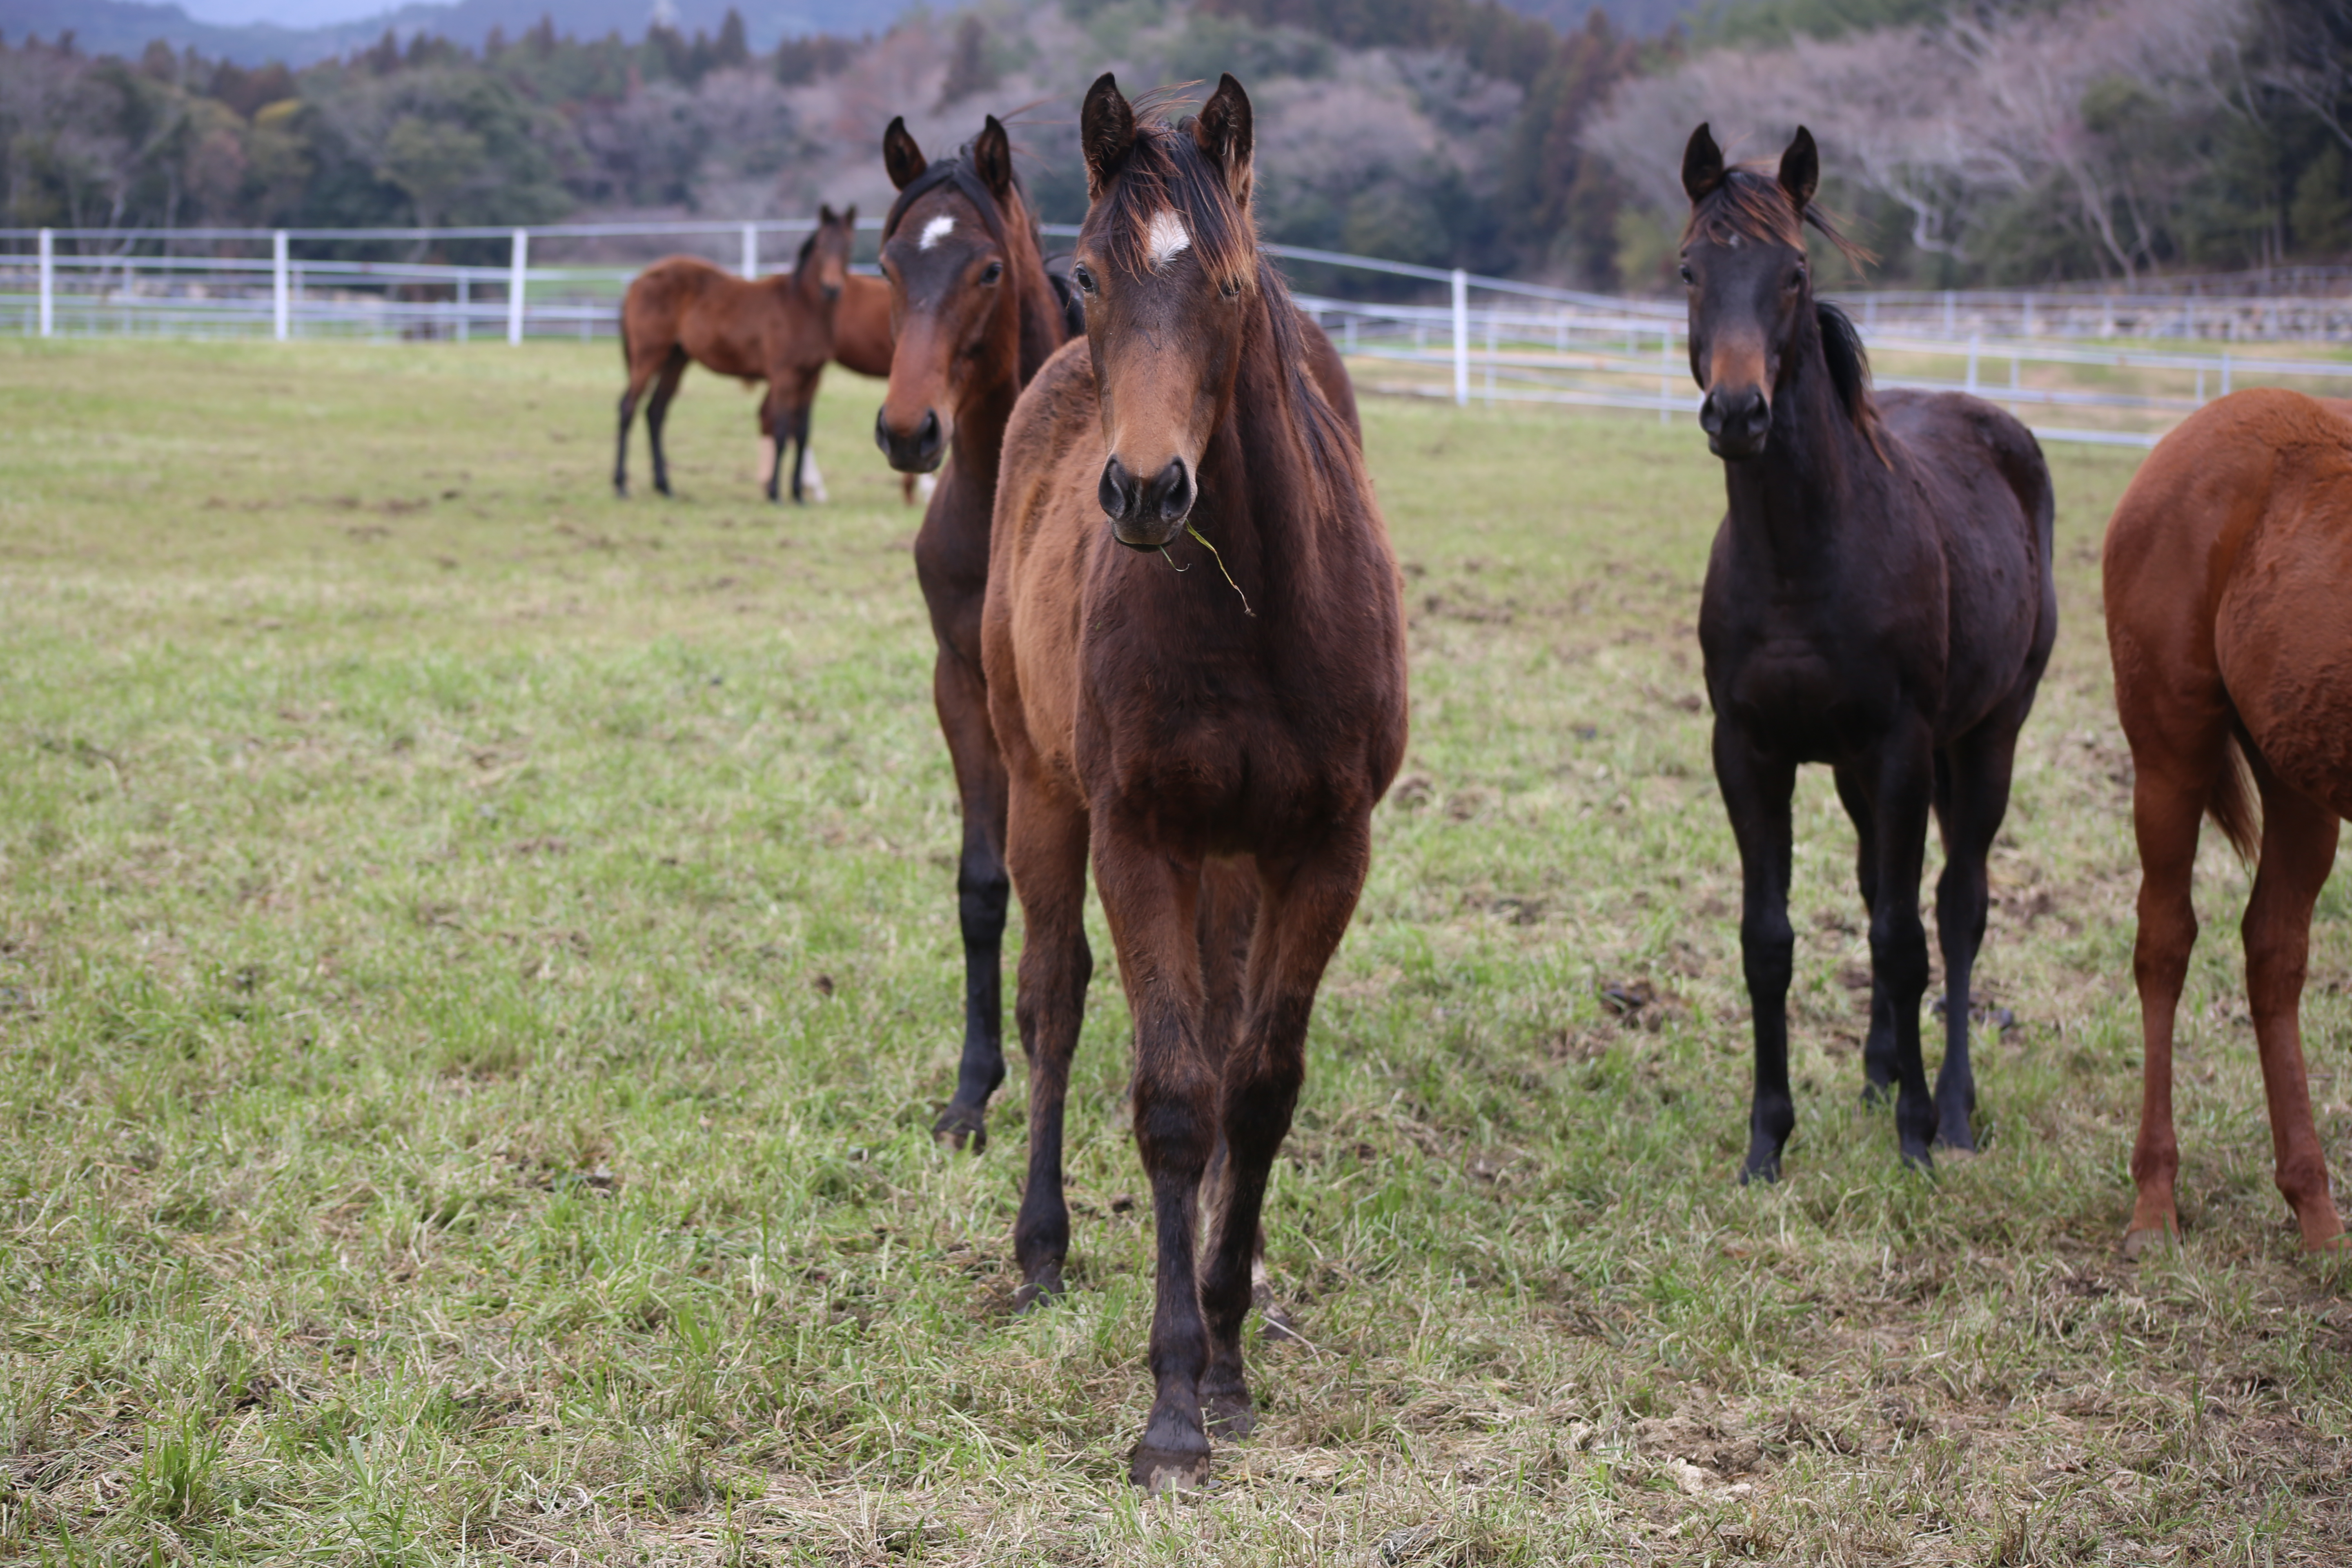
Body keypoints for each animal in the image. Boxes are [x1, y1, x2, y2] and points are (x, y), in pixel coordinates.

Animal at [611, 200, 861, 501]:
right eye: (823, 245)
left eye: (849, 245)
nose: (832, 288)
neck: (802, 306)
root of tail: (641, 279)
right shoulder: (784, 376)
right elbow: (780, 430)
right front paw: (775, 493)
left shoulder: (812, 378)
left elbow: (802, 433)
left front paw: (799, 495)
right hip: (649, 355)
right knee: (628, 407)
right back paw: (621, 485)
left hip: (676, 359)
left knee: (655, 412)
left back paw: (665, 486)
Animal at [983, 76, 1401, 1495]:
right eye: (1087, 275)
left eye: (1227, 285)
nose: (1147, 489)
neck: (1254, 610)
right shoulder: (1142, 836)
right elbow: (1172, 1098)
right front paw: (1171, 1403)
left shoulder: (1323, 849)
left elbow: (1256, 1088)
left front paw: (1226, 1346)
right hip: (1039, 793)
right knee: (1052, 1005)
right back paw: (1041, 1251)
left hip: (1236, 862)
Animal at [1675, 122, 2060, 1175]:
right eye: (1688, 269)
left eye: (1794, 273)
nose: (1737, 414)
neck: (1802, 561)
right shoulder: (1749, 751)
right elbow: (1768, 937)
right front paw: (1766, 1140)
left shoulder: (1899, 747)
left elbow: (1903, 936)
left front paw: (1916, 1139)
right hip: (1857, 767)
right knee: (1875, 882)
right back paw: (1881, 1067)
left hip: (1986, 735)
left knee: (1956, 906)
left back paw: (1953, 1108)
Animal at [2107, 385, 2352, 1260]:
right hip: (2169, 757)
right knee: (2165, 943)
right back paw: (2155, 1202)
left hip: (2302, 779)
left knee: (2273, 951)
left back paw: (2315, 1209)